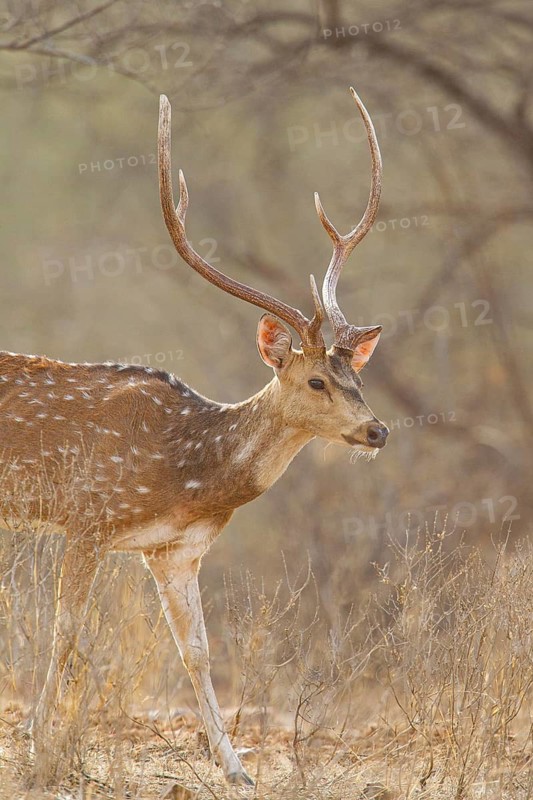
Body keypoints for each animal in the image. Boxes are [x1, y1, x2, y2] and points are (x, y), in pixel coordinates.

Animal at [0, 87, 388, 786]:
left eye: (356, 375)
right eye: (317, 380)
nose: (377, 429)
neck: (186, 473)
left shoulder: (175, 550)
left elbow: (199, 653)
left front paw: (237, 769)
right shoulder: (88, 517)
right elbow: (65, 631)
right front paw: (38, 740)